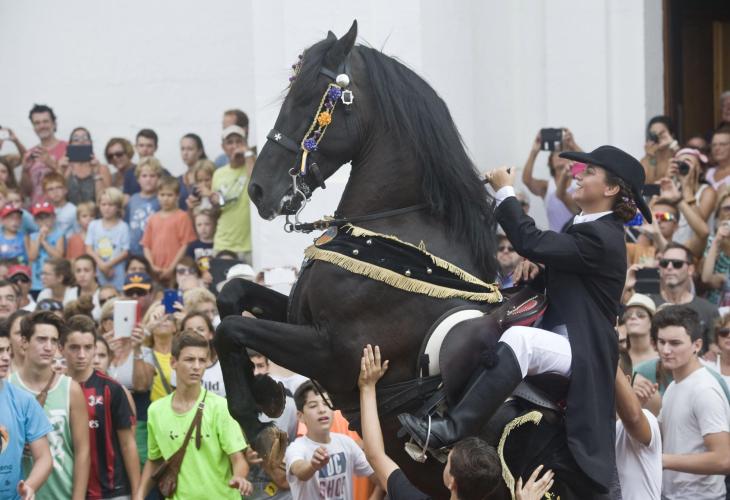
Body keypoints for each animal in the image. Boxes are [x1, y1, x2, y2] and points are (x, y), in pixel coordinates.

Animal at [215, 21, 568, 498]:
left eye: (310, 97)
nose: (259, 190)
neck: (394, 238)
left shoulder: (333, 353)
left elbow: (230, 328)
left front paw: (256, 425)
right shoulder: (297, 317)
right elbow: (232, 296)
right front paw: (266, 391)